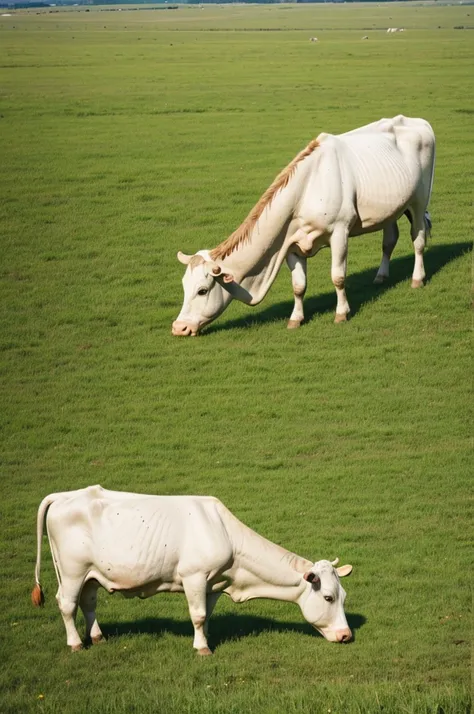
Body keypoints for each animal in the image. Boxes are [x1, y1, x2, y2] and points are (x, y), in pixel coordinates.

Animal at [32, 484, 352, 652]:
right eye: (328, 597)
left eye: (344, 596)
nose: (346, 636)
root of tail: (64, 495)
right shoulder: (194, 577)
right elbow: (197, 615)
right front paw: (202, 648)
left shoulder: (214, 583)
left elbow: (206, 615)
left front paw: (206, 639)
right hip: (72, 572)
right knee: (66, 604)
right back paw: (76, 643)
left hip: (91, 574)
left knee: (88, 603)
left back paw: (97, 637)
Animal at [172, 114, 436, 336]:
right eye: (184, 286)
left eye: (202, 290)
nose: (179, 327)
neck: (307, 188)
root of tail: (418, 121)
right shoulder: (291, 243)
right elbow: (298, 286)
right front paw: (296, 318)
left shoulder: (340, 231)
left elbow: (338, 276)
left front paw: (341, 313)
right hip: (392, 208)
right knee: (389, 240)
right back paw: (381, 276)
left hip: (419, 199)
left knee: (418, 239)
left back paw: (417, 279)